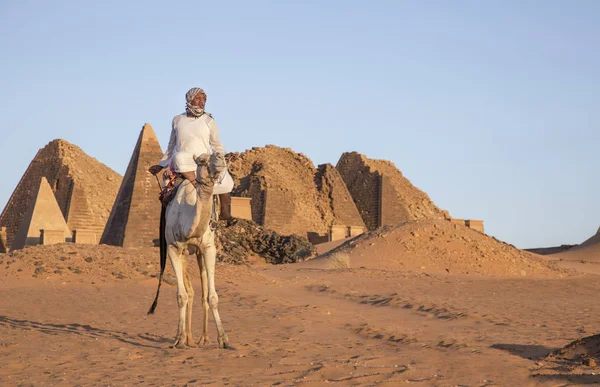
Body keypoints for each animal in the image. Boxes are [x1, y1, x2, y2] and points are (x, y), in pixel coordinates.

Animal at [148, 154, 230, 352]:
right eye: (202, 161)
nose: (220, 159)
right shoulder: (173, 248)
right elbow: (181, 295)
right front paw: (179, 339)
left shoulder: (208, 248)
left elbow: (212, 296)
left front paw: (223, 339)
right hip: (184, 253)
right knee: (190, 292)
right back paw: (187, 338)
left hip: (198, 253)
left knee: (201, 293)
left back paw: (202, 338)